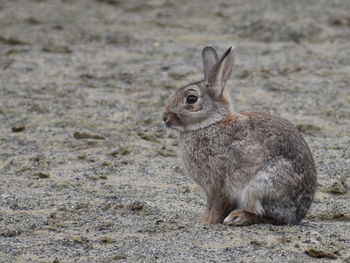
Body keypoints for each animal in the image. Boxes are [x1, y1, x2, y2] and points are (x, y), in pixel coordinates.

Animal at [163, 46, 318, 227]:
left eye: (191, 98)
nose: (164, 118)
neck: (209, 123)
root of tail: (298, 214)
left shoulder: (218, 185)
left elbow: (215, 206)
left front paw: (206, 222)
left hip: (261, 185)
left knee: (268, 216)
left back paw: (237, 217)